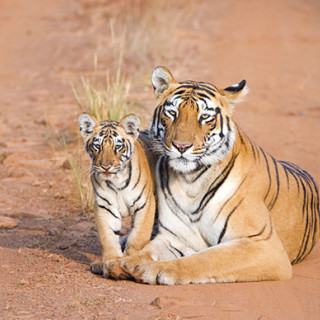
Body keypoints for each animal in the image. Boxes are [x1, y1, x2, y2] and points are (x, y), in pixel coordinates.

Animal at [106, 66, 318, 284]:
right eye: (172, 113)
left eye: (205, 117)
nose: (181, 146)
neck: (190, 181)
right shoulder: (175, 238)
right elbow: (147, 250)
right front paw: (121, 263)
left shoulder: (264, 244)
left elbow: (206, 259)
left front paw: (154, 269)